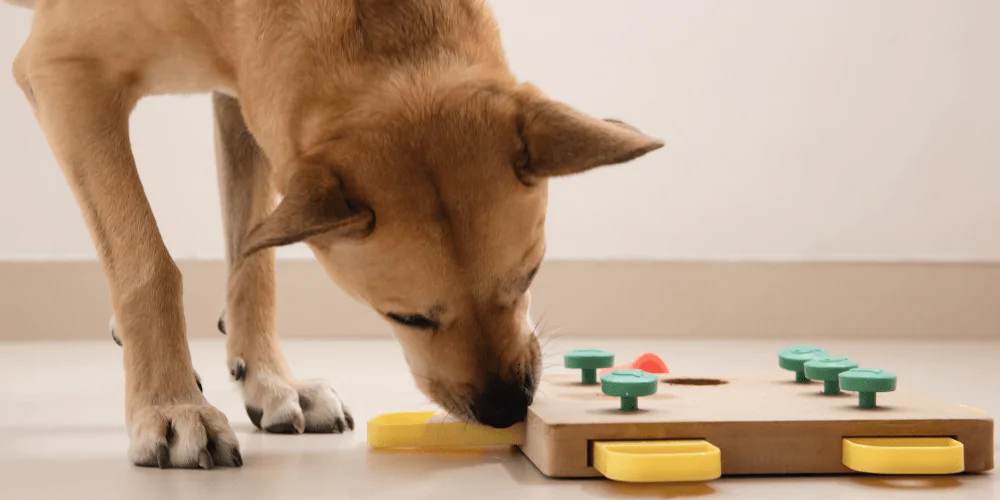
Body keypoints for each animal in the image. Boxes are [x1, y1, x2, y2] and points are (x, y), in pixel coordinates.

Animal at [7, 0, 664, 468]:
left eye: (528, 276)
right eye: (407, 318)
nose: (506, 408)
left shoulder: (245, 95)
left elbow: (252, 255)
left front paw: (271, 380)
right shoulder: (65, 74)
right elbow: (146, 259)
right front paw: (170, 405)